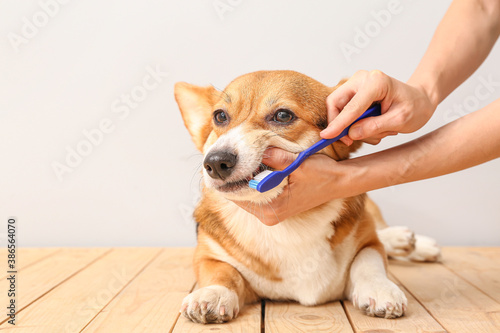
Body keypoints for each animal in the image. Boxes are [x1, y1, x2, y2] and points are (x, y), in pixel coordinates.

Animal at [174, 69, 440, 322]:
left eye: (283, 116)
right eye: (220, 116)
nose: (216, 162)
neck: (289, 224)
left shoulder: (368, 243)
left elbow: (368, 262)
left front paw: (379, 289)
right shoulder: (207, 256)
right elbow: (222, 273)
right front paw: (213, 294)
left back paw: (413, 242)